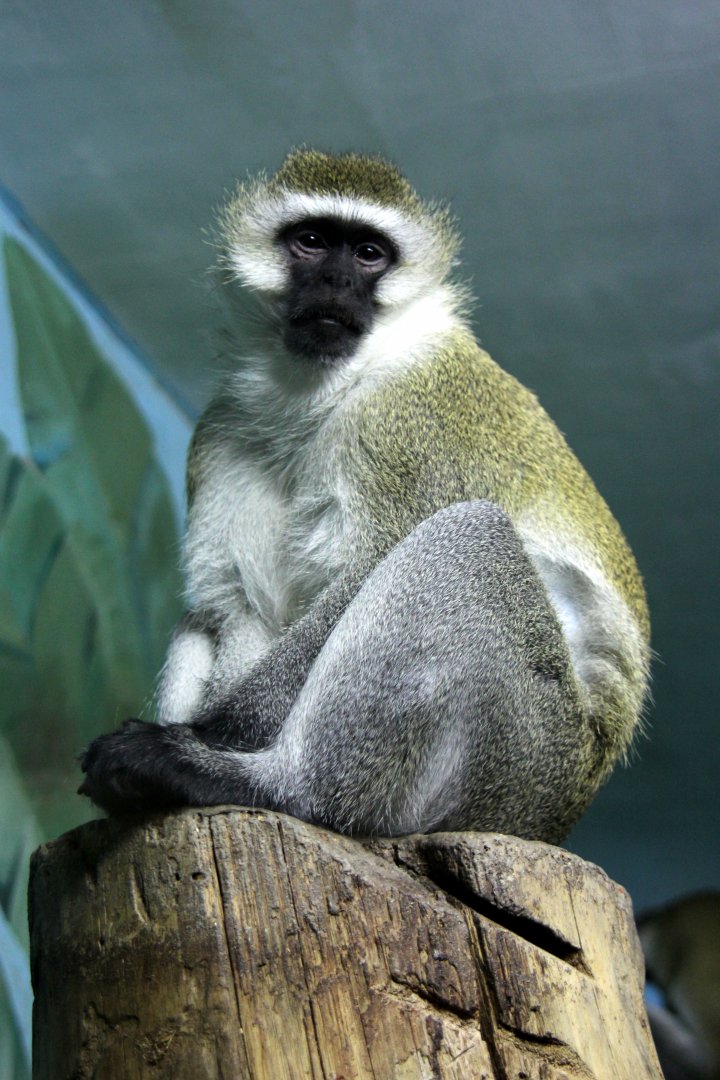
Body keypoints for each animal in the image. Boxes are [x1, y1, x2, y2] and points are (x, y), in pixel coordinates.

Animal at [79, 149, 650, 842]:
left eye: (369, 253)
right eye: (313, 242)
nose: (335, 283)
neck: (323, 389)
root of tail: (558, 822)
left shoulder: (405, 420)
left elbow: (364, 570)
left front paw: (209, 734)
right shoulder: (219, 433)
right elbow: (241, 606)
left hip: (520, 765)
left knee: (469, 540)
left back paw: (271, 786)